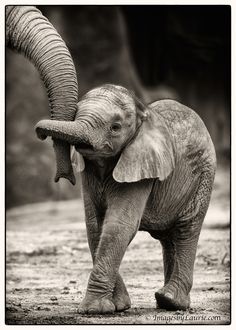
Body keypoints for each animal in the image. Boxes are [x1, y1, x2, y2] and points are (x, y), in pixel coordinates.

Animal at [36, 84, 216, 314]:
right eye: (75, 114)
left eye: (115, 127)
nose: (40, 134)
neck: (142, 114)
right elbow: (95, 226)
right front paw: (119, 306)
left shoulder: (141, 166)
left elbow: (118, 225)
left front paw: (94, 309)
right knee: (169, 239)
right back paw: (165, 302)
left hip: (203, 175)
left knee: (187, 228)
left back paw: (171, 300)